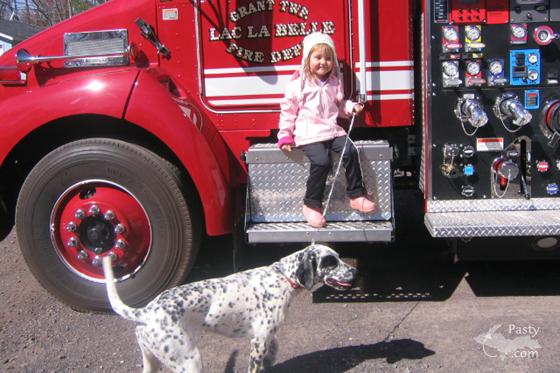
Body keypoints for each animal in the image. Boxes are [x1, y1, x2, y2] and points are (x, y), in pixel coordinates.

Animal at [103, 243, 356, 370]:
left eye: (339, 257)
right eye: (330, 262)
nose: (355, 271)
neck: (282, 276)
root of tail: (146, 311)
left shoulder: (266, 341)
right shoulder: (258, 342)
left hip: (152, 362)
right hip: (189, 361)